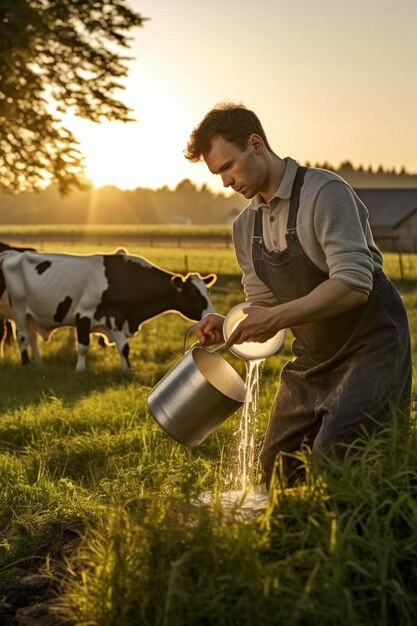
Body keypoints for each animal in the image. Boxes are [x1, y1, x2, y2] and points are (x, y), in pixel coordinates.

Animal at [0, 247, 214, 368]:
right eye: (193, 294)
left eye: (207, 291)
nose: (212, 314)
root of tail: (12, 254)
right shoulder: (83, 314)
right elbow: (83, 346)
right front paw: (80, 371)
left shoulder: (117, 316)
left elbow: (124, 348)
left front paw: (127, 370)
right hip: (19, 308)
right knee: (23, 337)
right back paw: (26, 364)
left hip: (31, 314)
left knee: (32, 337)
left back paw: (39, 364)